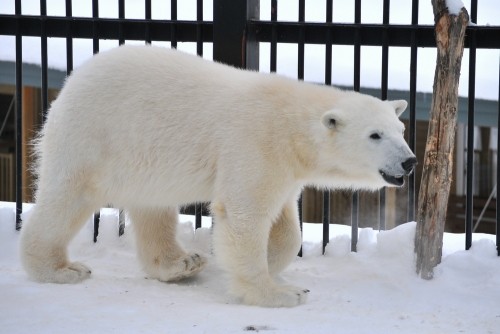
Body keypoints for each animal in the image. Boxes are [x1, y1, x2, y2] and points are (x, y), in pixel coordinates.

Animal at [19, 45, 416, 308]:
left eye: (400, 130)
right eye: (375, 135)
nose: (409, 162)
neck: (289, 124)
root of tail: (73, 80)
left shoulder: (284, 167)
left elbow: (286, 225)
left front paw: (271, 262)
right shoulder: (253, 142)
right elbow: (245, 215)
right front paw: (280, 292)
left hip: (141, 157)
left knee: (153, 206)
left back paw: (180, 264)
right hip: (93, 136)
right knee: (68, 197)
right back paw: (59, 269)